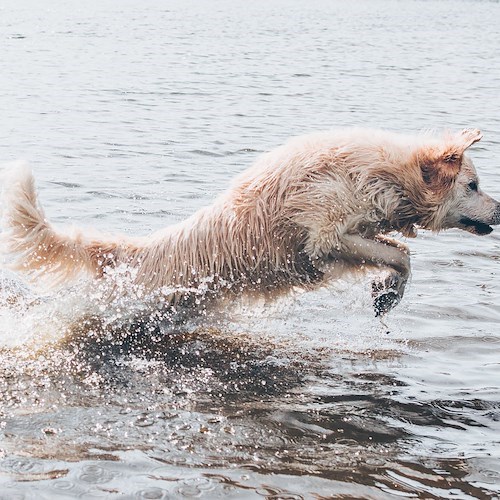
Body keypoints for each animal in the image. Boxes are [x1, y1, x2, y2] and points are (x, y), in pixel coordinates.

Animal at [0, 129, 500, 316]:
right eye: (474, 185)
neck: (385, 173)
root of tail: (138, 253)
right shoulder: (325, 235)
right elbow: (402, 253)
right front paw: (388, 291)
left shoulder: (355, 232)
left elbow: (400, 252)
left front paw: (387, 293)